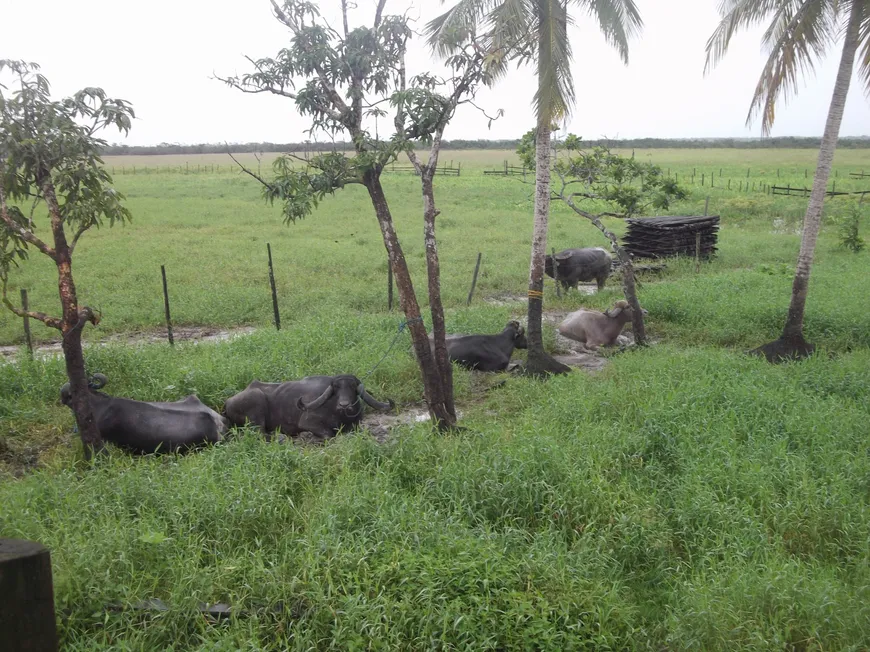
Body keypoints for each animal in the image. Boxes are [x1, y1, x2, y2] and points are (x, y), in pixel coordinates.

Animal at [225, 374, 396, 440]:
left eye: (353, 387)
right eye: (336, 388)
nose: (344, 405)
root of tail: (228, 401)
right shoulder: (308, 423)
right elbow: (329, 434)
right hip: (256, 402)